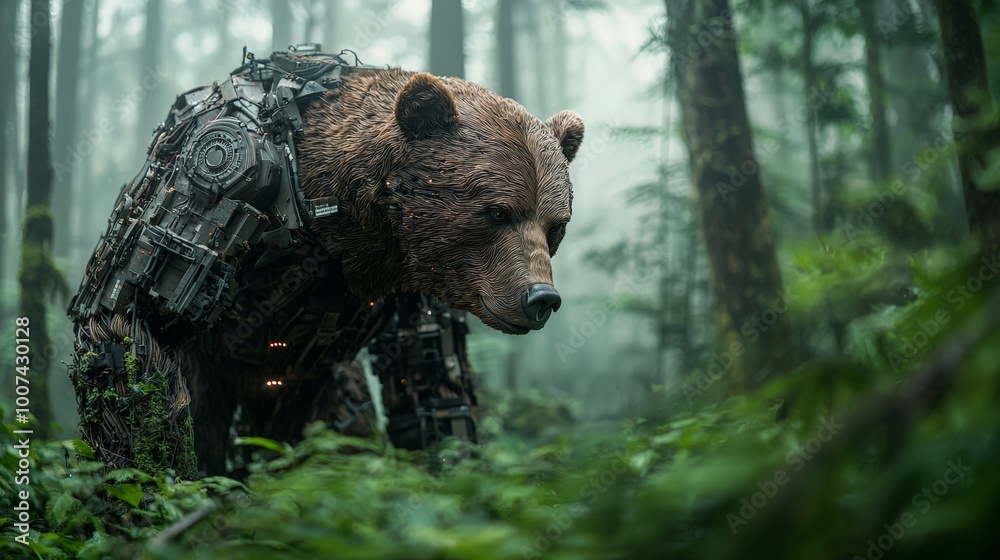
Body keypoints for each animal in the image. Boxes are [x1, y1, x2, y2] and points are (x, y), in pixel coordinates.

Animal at [68, 51, 584, 478]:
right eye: (497, 212)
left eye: (556, 224)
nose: (541, 297)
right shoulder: (223, 170)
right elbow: (136, 315)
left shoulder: (416, 271)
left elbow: (429, 367)